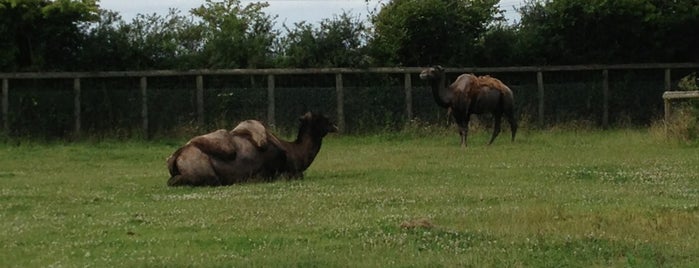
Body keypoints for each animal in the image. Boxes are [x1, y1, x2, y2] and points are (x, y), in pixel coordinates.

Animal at [165, 111, 338, 186]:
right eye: (323, 119)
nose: (335, 125)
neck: (294, 152)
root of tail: (176, 157)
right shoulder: (288, 172)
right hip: (205, 173)